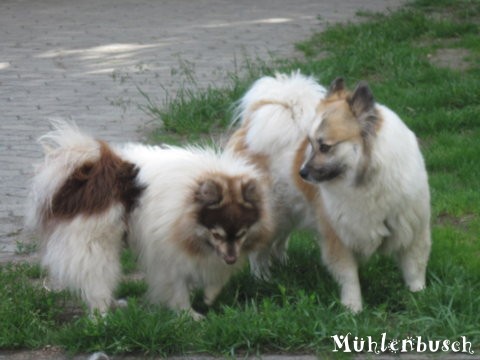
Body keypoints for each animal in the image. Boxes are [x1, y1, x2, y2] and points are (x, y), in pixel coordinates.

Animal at [27, 122, 274, 320]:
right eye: (216, 233)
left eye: (242, 234)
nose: (231, 259)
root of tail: (87, 170)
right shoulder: (166, 250)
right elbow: (177, 286)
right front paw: (188, 314)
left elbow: (215, 275)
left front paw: (209, 295)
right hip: (96, 243)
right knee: (96, 279)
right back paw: (102, 317)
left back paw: (114, 305)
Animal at [228, 72, 432, 312]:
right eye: (309, 143)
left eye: (324, 147)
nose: (302, 173)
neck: (369, 181)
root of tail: (248, 128)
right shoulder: (338, 235)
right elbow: (349, 277)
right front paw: (353, 308)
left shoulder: (412, 228)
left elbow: (414, 268)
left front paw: (418, 297)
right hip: (273, 214)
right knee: (259, 251)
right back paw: (263, 279)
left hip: (288, 213)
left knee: (278, 243)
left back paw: (283, 266)